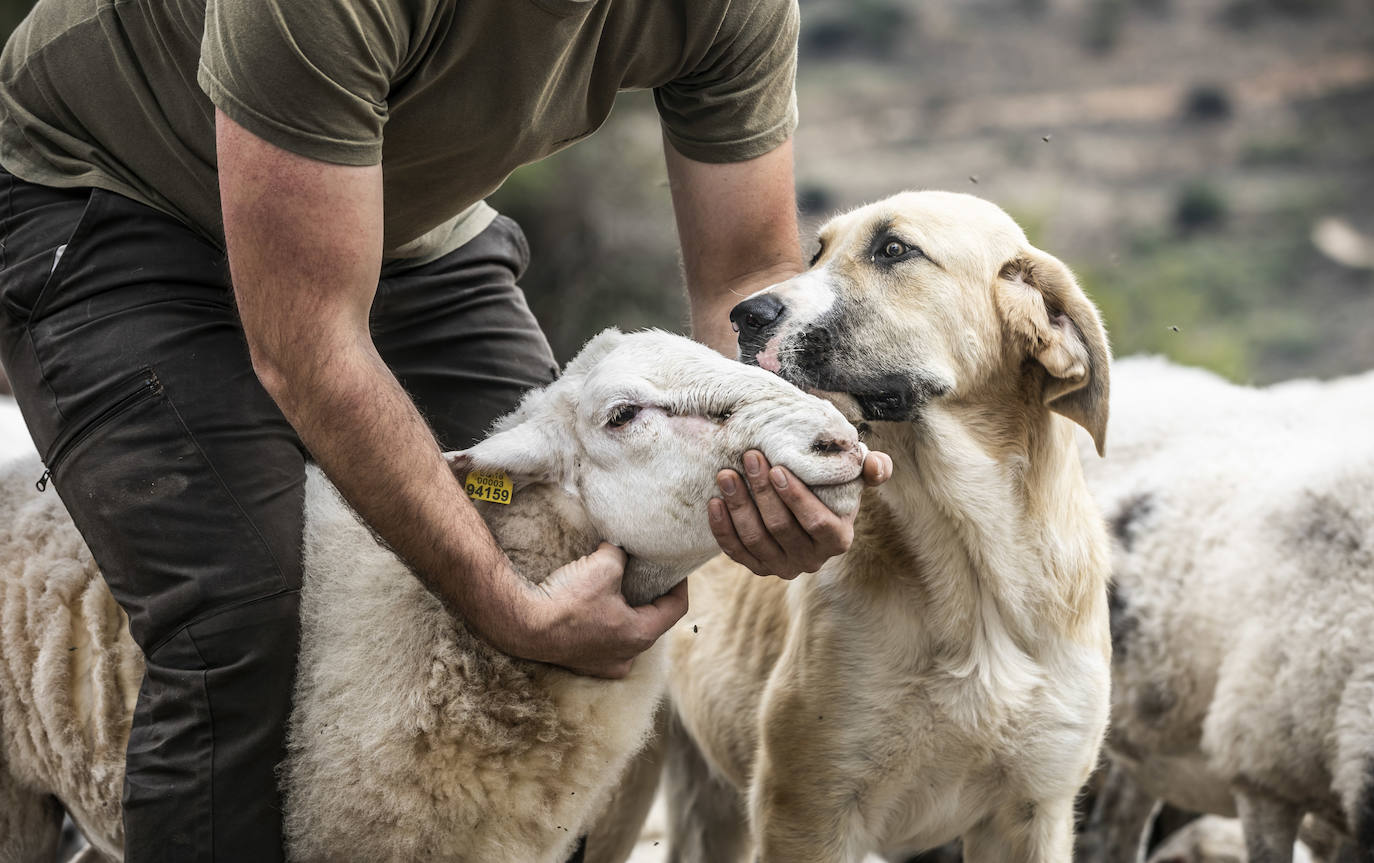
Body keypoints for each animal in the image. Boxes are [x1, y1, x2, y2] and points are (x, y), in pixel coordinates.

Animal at [656, 193, 1115, 863]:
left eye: (894, 250)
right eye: (816, 254)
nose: (745, 316)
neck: (972, 558)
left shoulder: (1034, 810)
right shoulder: (808, 807)